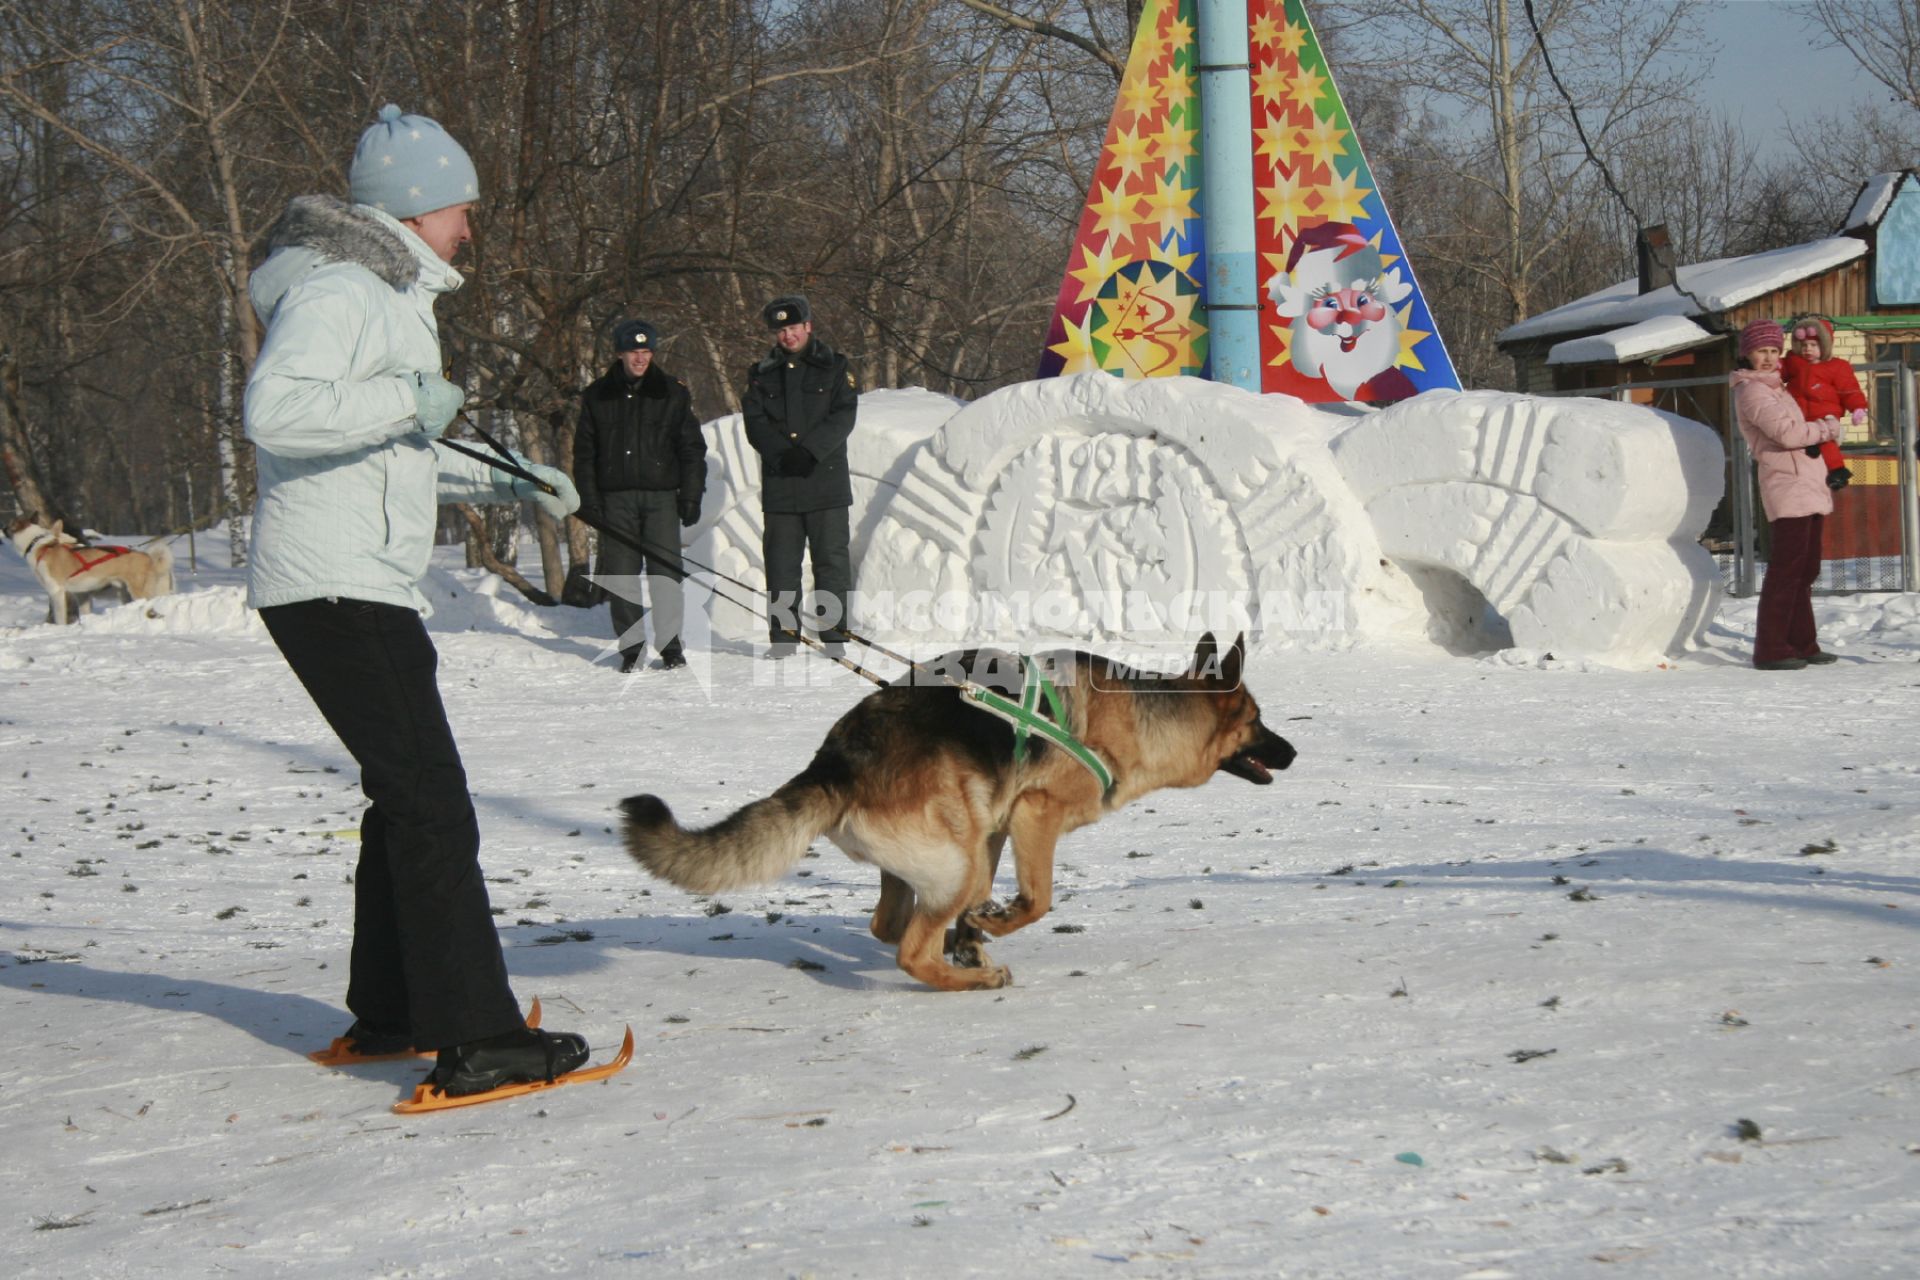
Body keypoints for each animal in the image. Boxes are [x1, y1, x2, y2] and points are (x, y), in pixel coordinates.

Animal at [7, 514, 174, 625]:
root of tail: (149, 558)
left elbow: (60, 616)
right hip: (127, 593)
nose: (3, 528)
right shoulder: (82, 595)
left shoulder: (56, 591)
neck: (39, 545)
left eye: (10, 524)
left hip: (139, 591)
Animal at [622, 637, 1297, 997]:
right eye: (1257, 721)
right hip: (956, 861)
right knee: (909, 951)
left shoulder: (998, 827)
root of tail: (836, 762)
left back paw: (961, 944)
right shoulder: (1034, 815)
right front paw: (994, 928)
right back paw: (969, 977)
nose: (1293, 752)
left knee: (890, 924)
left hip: (955, 848)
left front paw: (976, 933)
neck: (1148, 712)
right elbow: (1039, 900)